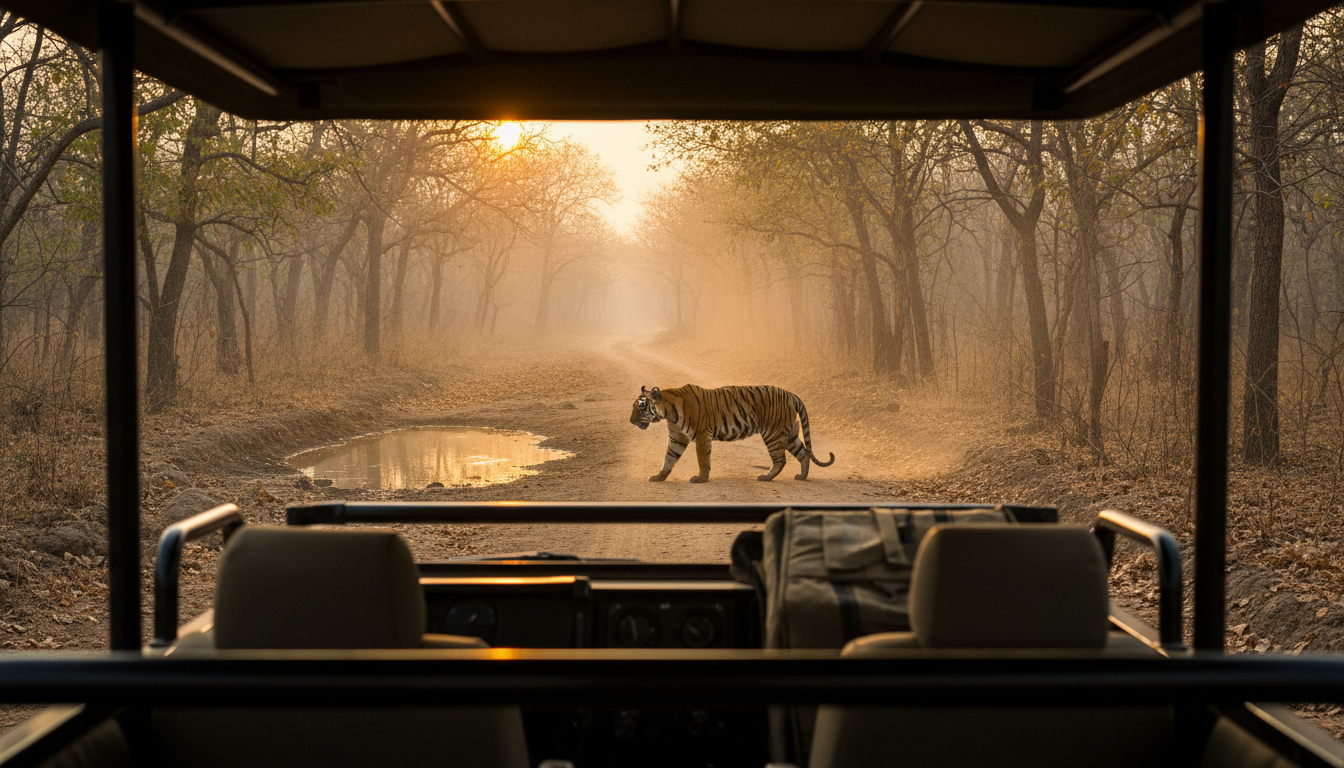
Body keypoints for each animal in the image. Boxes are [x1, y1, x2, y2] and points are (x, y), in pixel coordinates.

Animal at [629, 384, 835, 483]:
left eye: (641, 407)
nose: (631, 421)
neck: (669, 413)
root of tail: (791, 394)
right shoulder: (677, 438)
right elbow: (669, 458)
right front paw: (659, 477)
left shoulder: (702, 435)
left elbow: (702, 459)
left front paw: (701, 479)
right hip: (789, 432)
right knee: (804, 453)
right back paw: (802, 476)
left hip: (773, 434)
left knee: (781, 460)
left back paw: (766, 477)